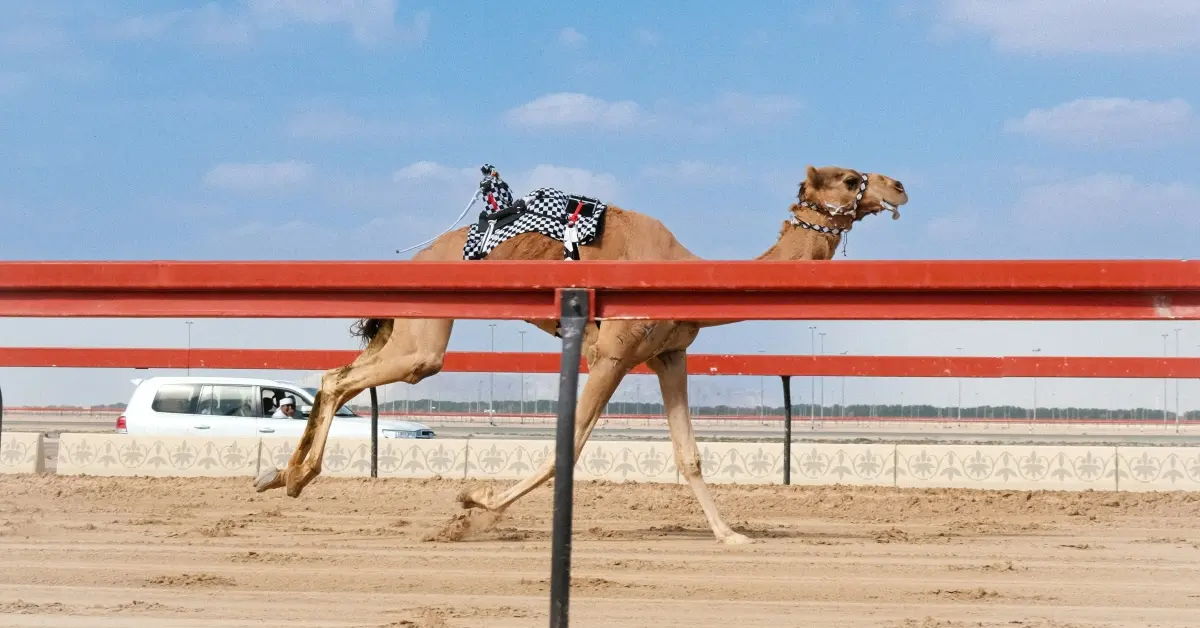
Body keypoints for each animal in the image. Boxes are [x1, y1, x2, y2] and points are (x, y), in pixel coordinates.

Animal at [254, 164, 909, 544]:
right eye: (849, 178)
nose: (899, 184)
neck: (678, 269)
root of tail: (415, 259)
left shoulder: (669, 356)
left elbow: (690, 455)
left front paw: (731, 536)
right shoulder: (612, 353)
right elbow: (568, 445)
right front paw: (472, 507)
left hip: (410, 329)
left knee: (340, 372)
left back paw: (280, 475)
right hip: (425, 335)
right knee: (342, 376)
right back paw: (289, 477)